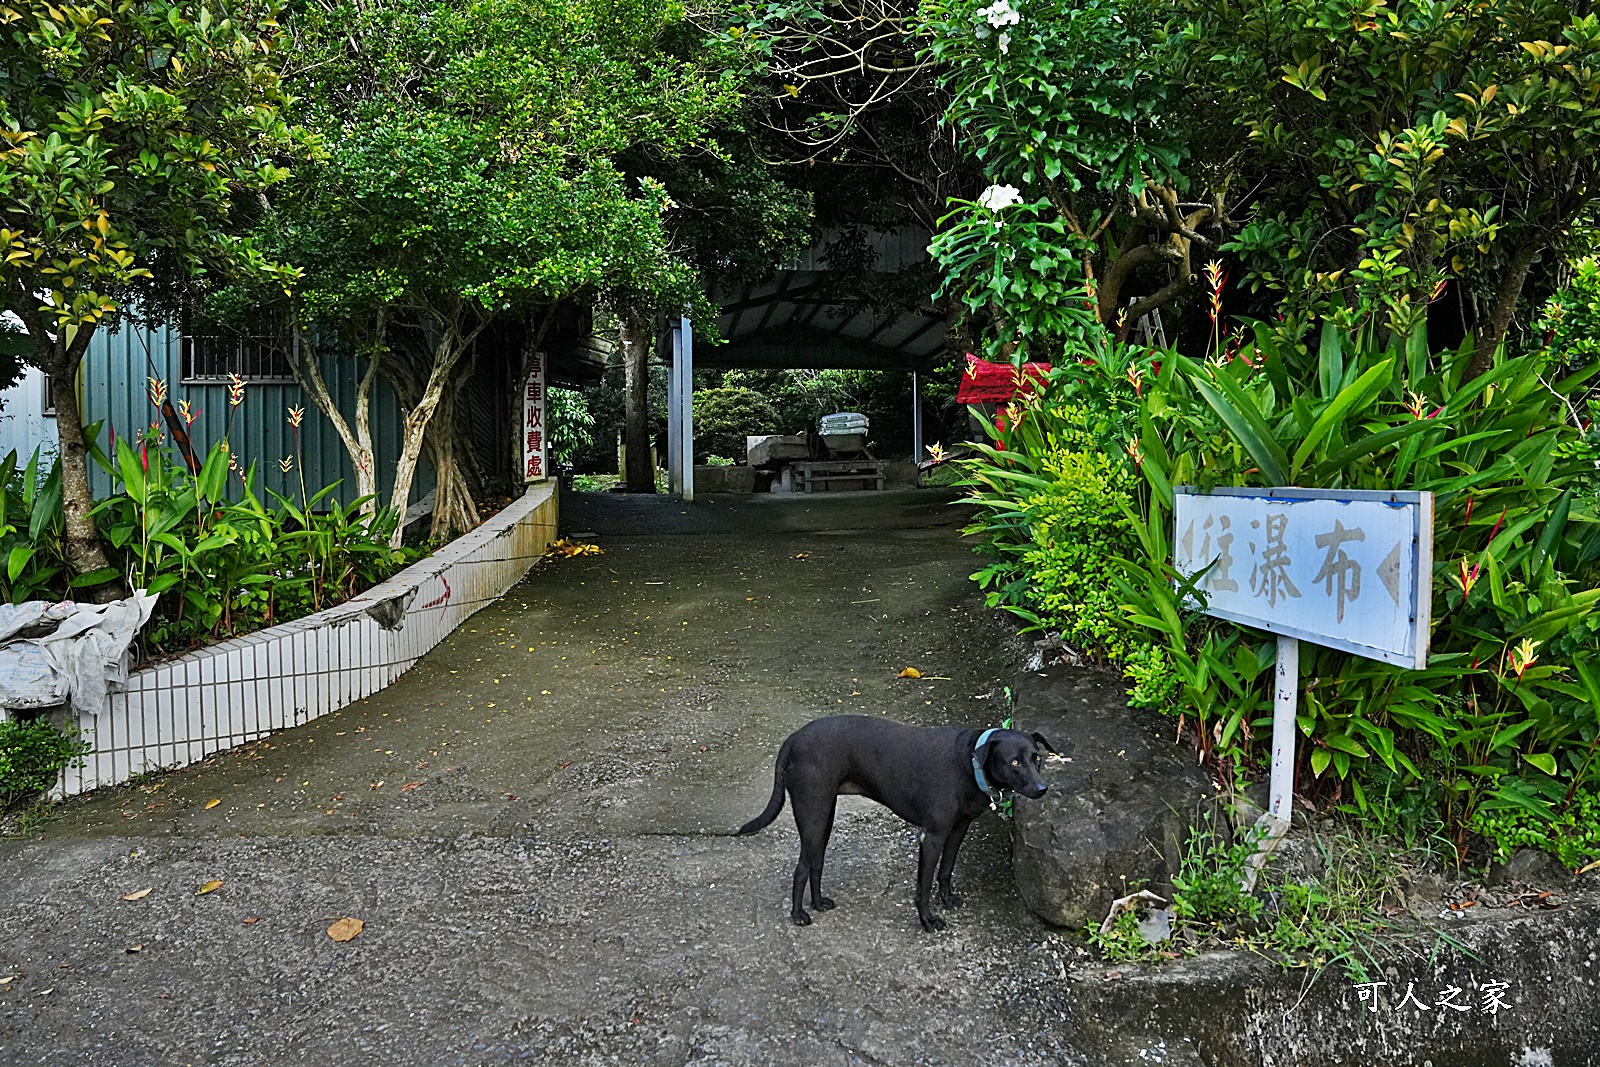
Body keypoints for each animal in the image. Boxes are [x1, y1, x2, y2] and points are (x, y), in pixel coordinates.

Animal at [732, 716, 1049, 934]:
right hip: (813, 816)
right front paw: (927, 920)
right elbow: (922, 887)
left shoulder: (958, 830)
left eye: (1037, 758)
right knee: (800, 870)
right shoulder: (932, 837)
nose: (1042, 788)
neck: (970, 762)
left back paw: (818, 903)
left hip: (822, 818)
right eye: (1014, 762)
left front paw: (947, 898)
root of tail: (794, 738)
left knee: (815, 864)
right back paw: (798, 915)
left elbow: (946, 870)